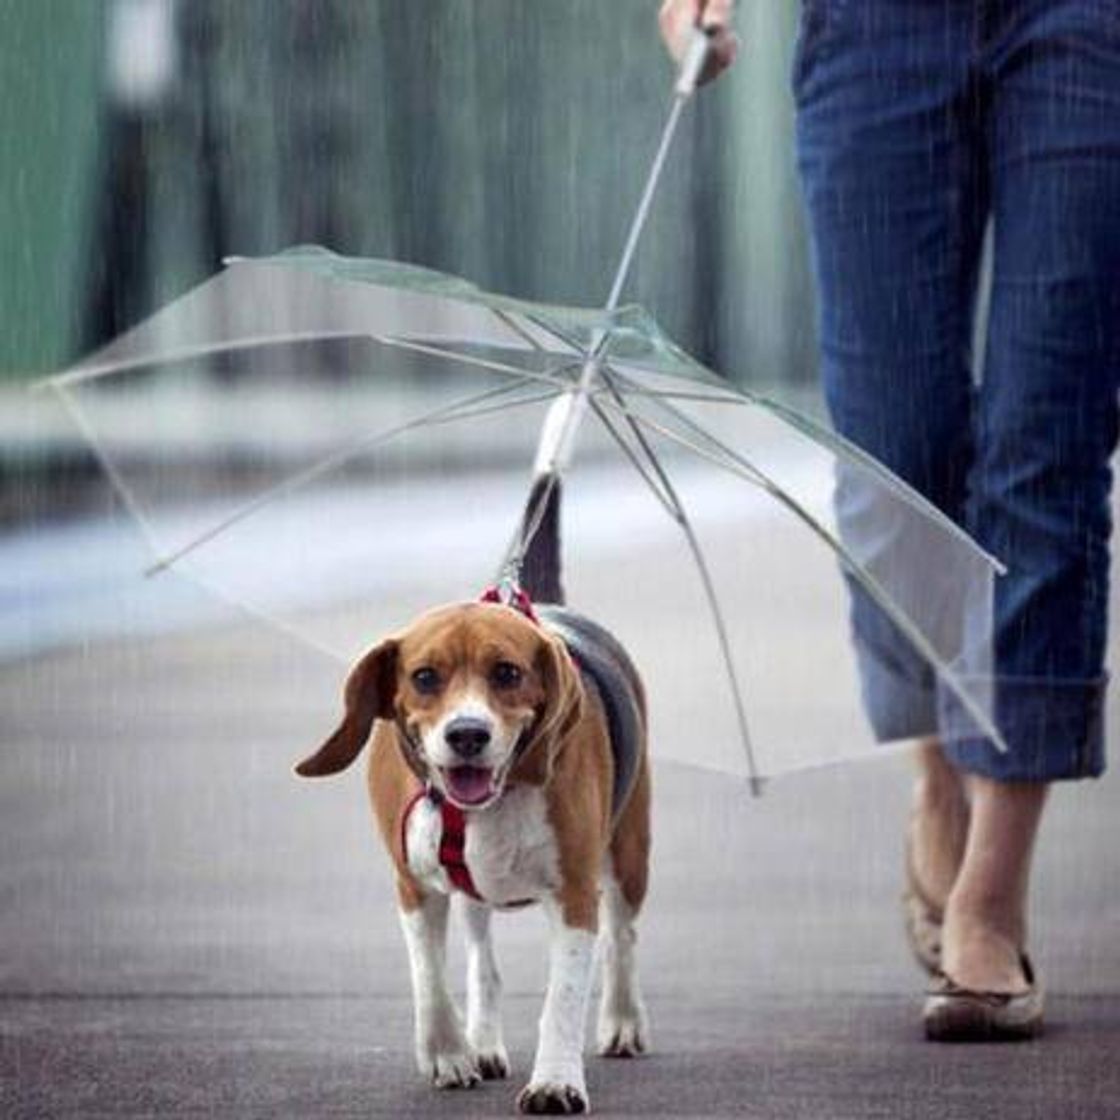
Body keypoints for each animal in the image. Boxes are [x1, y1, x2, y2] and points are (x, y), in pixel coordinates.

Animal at [293, 477, 654, 1115]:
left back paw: (622, 1020)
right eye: (424, 677)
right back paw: (482, 1042)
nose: (467, 734)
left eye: (507, 673)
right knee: (483, 961)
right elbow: (430, 979)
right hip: (471, 892)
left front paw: (555, 1081)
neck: (488, 801)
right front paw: (448, 1055)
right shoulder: (413, 886)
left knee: (622, 939)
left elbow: (563, 997)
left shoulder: (575, 892)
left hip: (629, 853)